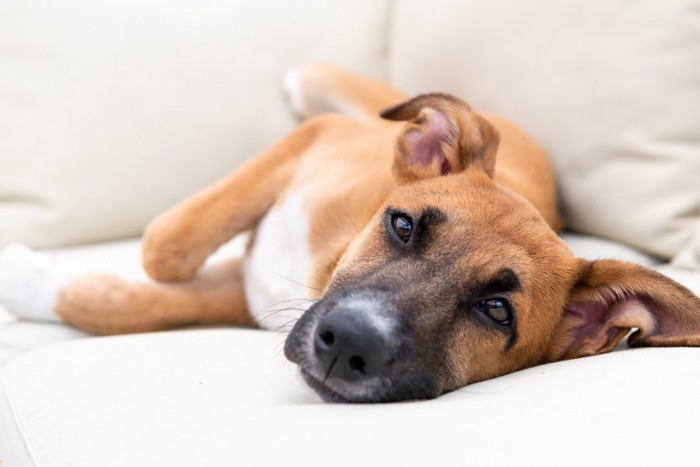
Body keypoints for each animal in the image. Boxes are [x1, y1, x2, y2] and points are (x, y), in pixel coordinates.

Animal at [1, 64, 700, 404]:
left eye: (498, 310)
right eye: (402, 225)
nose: (347, 345)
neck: (324, 262)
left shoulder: (247, 296)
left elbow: (134, 303)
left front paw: (30, 280)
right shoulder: (310, 145)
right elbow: (163, 246)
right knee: (320, 78)